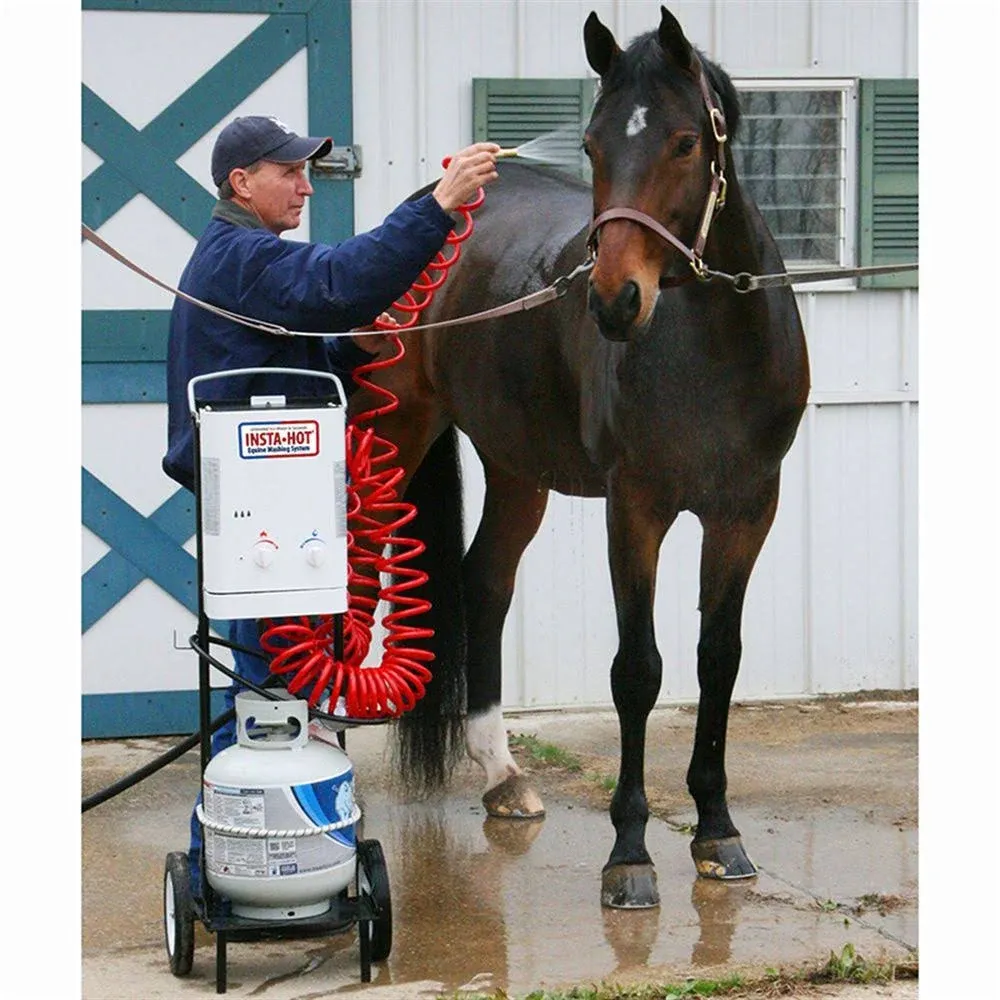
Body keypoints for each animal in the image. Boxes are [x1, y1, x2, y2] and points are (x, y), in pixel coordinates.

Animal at [348, 7, 808, 912]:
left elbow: (718, 660)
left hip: (516, 467)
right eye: (593, 146)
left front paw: (717, 833)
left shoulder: (747, 510)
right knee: (356, 571)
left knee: (485, 583)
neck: (712, 350)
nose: (614, 301)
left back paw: (502, 776)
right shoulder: (636, 509)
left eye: (684, 143)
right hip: (398, 434)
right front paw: (629, 854)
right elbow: (638, 670)